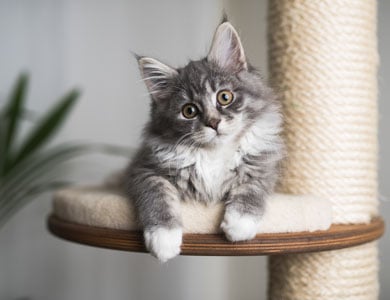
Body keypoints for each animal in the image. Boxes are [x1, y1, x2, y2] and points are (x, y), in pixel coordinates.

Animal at [126, 20, 282, 262]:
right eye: (189, 111)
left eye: (224, 97)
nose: (213, 123)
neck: (213, 153)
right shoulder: (143, 169)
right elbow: (157, 196)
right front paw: (163, 239)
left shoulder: (263, 166)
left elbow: (252, 188)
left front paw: (239, 224)